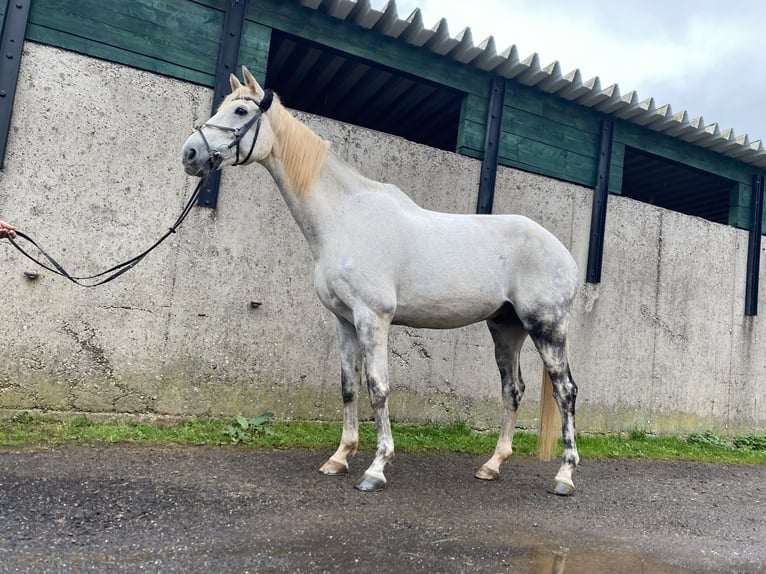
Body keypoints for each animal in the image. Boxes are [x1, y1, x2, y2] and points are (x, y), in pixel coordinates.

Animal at [183, 67, 584, 498]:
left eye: (241, 110)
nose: (190, 154)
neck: (345, 217)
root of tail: (564, 254)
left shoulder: (372, 317)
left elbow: (378, 387)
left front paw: (376, 469)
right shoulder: (345, 321)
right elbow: (349, 386)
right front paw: (339, 458)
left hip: (546, 326)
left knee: (565, 390)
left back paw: (565, 476)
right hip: (507, 328)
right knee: (513, 390)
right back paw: (492, 466)